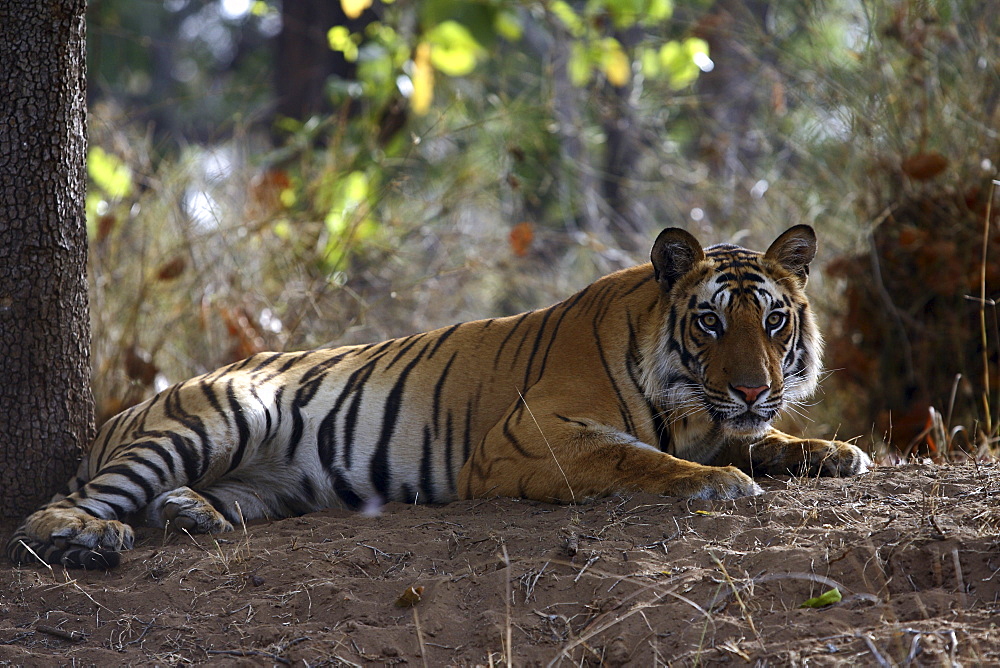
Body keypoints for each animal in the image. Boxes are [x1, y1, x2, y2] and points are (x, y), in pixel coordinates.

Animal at [5, 226, 868, 568]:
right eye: (711, 322)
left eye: (774, 319)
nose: (753, 386)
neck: (692, 402)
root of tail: (124, 411)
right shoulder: (530, 437)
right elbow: (641, 459)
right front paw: (719, 483)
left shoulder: (728, 419)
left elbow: (762, 438)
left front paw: (836, 451)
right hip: (219, 415)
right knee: (48, 512)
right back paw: (91, 538)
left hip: (267, 483)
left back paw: (193, 515)